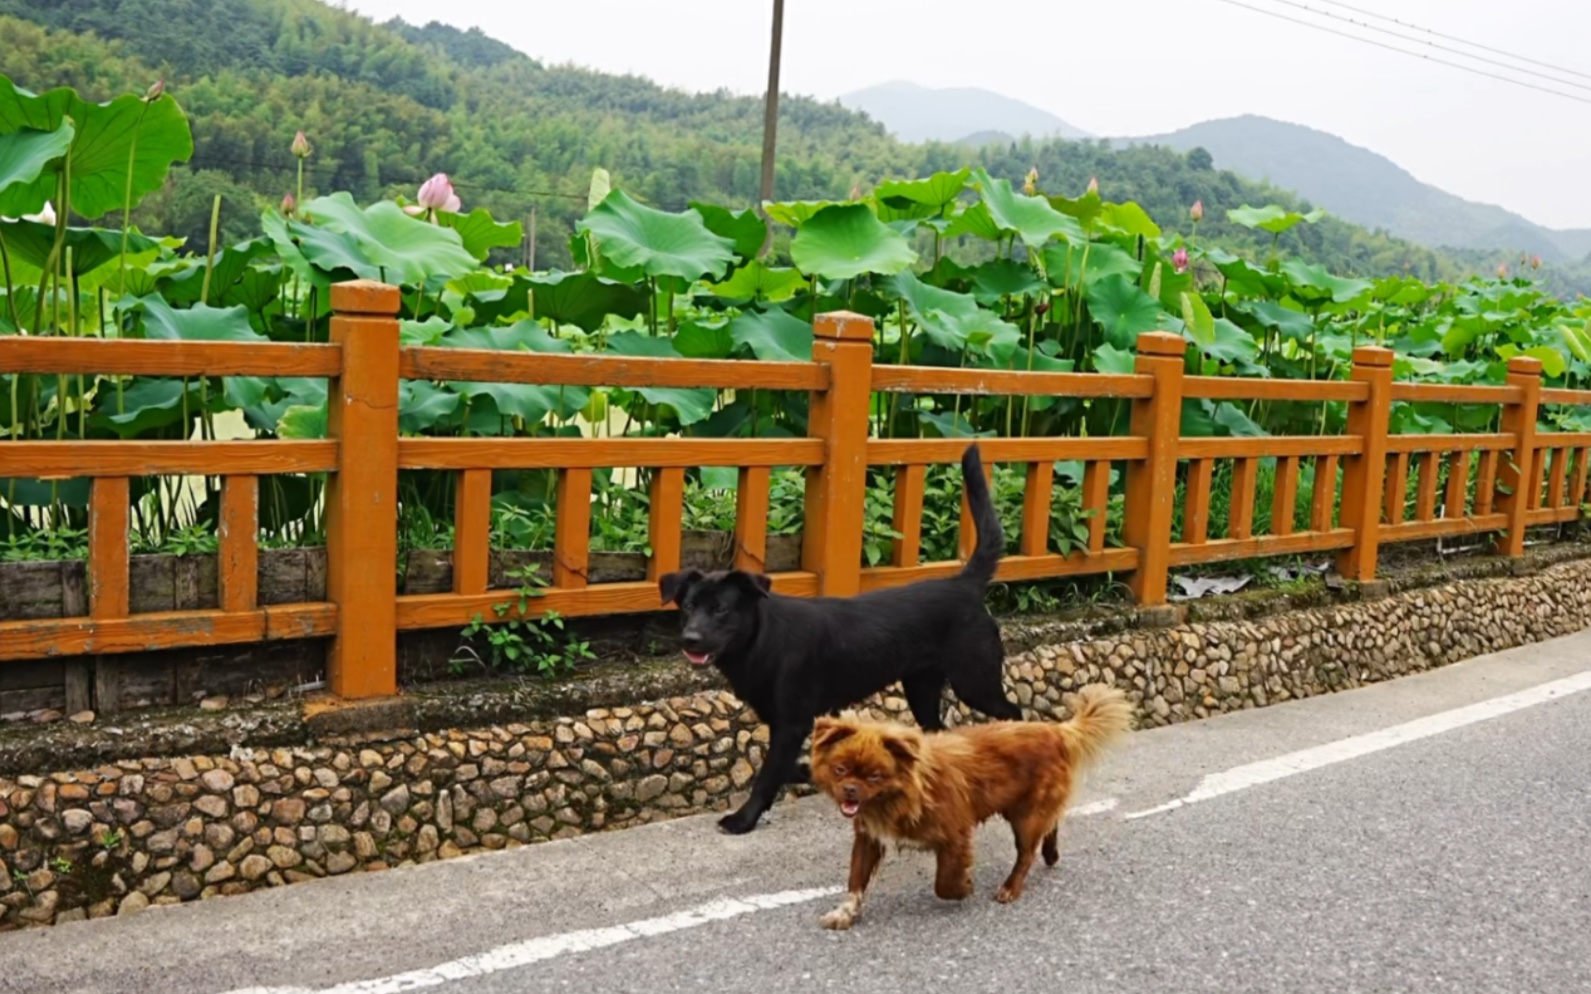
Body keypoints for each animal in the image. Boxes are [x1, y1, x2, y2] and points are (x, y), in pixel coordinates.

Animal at [655, 442, 1018, 827]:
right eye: (688, 606)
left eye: (721, 609)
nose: (690, 639)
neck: (762, 642)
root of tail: (964, 584)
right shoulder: (782, 723)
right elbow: (785, 768)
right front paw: (806, 773)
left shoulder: (791, 723)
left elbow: (767, 775)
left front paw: (743, 819)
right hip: (921, 687)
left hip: (975, 681)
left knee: (1015, 713)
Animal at [808, 680, 1132, 928]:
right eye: (840, 769)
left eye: (875, 776)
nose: (850, 789)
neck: (896, 799)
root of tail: (1056, 730)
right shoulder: (868, 838)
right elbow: (855, 881)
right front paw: (844, 914)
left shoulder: (954, 834)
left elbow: (943, 883)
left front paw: (964, 886)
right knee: (1051, 824)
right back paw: (1051, 855)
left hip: (1025, 815)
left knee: (1027, 852)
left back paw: (1010, 888)